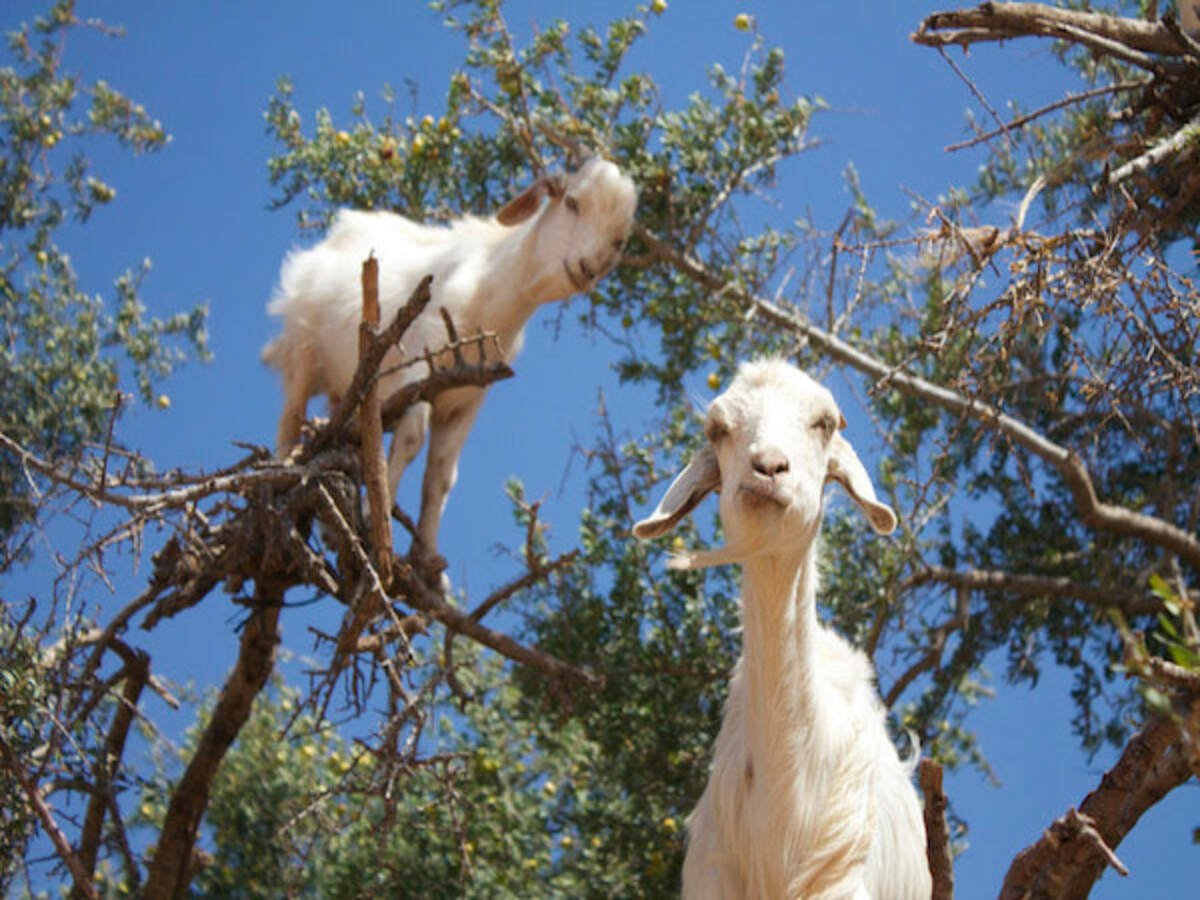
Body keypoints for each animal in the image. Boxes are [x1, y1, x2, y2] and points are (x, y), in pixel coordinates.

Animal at [262, 157, 638, 571]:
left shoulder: (465, 400)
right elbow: (410, 442)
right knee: (289, 421)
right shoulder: (419, 369)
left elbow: (442, 475)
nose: (588, 268)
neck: (491, 292)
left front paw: (427, 557)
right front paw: (378, 526)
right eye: (572, 203)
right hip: (301, 351)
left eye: (618, 241)